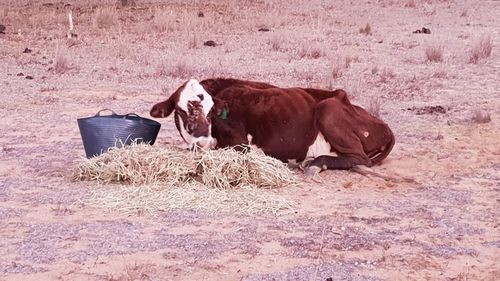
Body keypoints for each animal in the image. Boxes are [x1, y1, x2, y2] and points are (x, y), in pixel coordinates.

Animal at [148, 77, 394, 174]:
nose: (203, 141)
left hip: (328, 109)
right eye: (181, 110)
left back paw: (316, 163)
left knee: (359, 159)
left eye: (211, 111)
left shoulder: (240, 146)